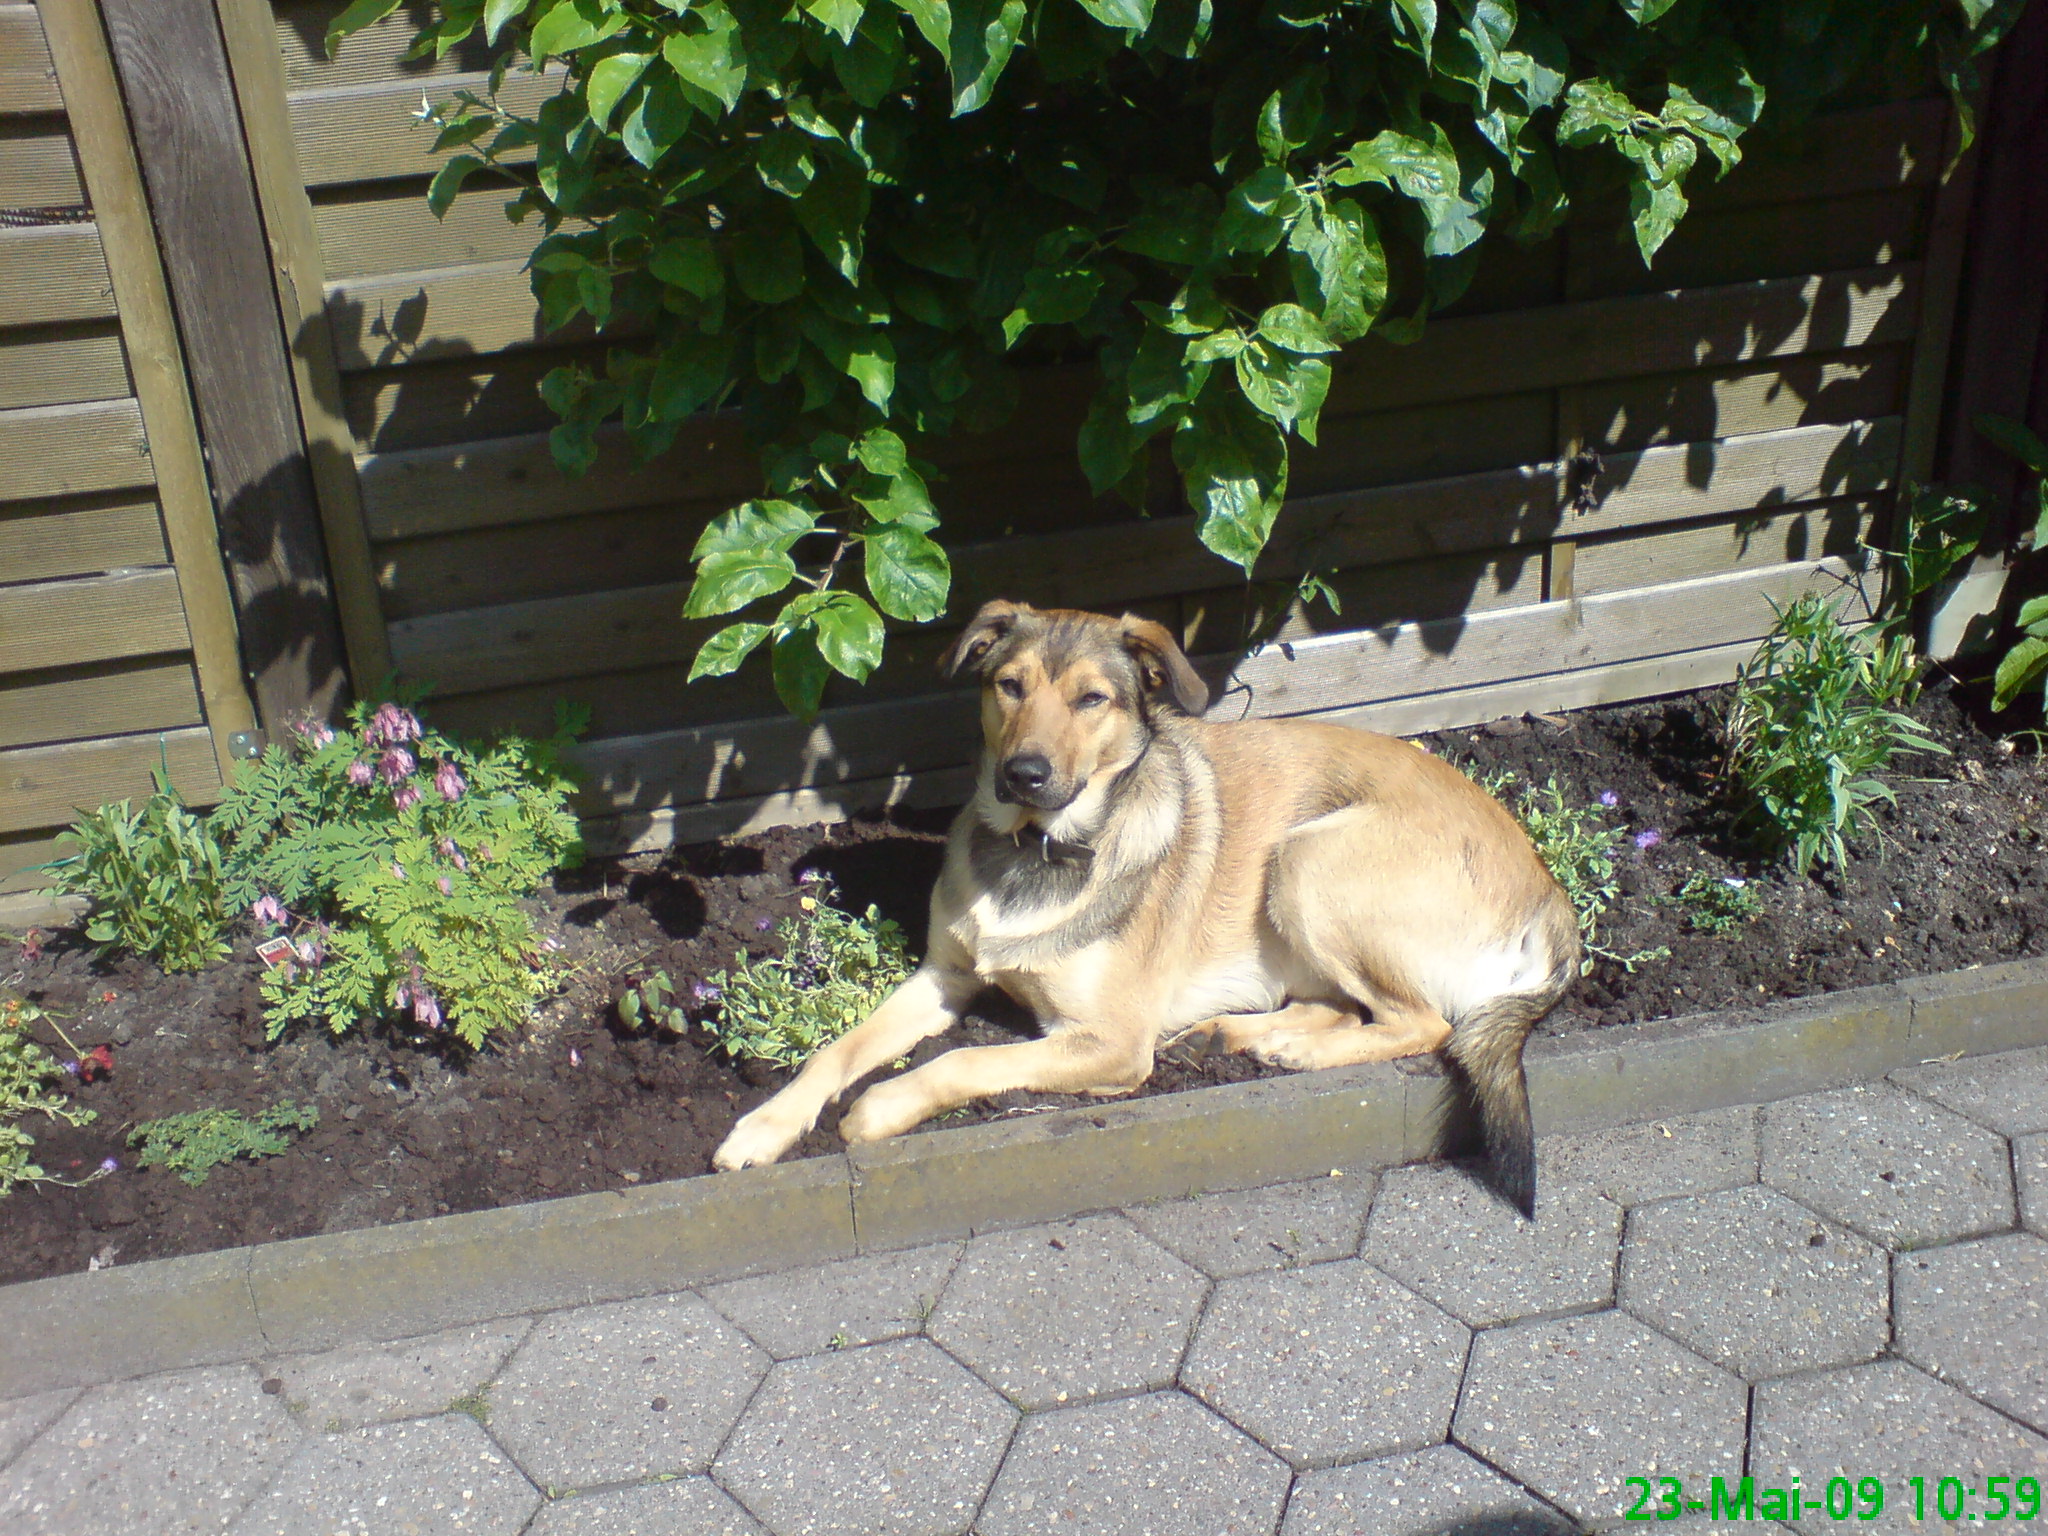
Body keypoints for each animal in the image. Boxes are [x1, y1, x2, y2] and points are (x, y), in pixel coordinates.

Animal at [712, 602, 1572, 1212]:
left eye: (1093, 700)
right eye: (1008, 686)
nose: (1024, 773)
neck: (1036, 850)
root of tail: (1551, 893)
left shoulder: (1112, 1043)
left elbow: (962, 1061)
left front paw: (881, 1107)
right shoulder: (942, 978)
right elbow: (836, 1051)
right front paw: (764, 1126)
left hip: (1308, 859)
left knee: (1423, 1023)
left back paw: (1294, 1052)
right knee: (1339, 1005)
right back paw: (1249, 1035)